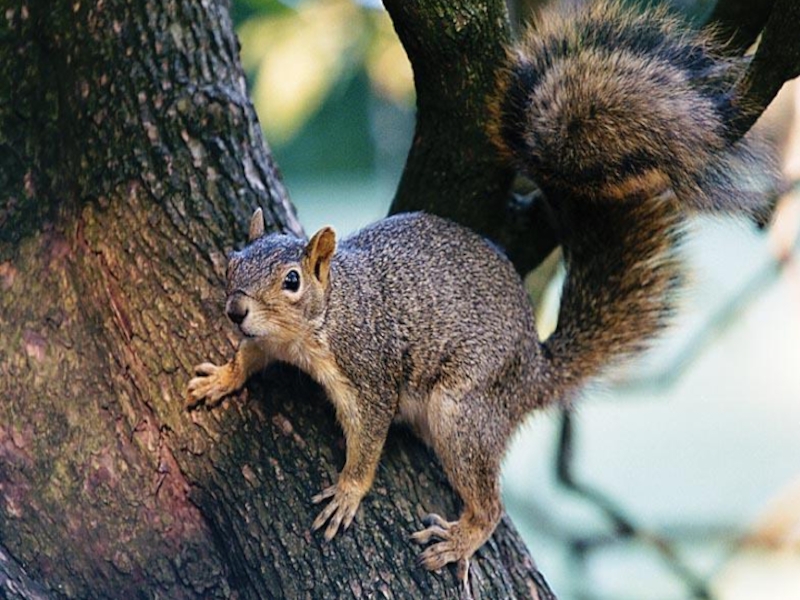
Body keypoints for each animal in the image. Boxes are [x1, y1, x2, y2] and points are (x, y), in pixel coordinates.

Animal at [188, 0, 776, 580]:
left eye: (291, 280)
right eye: (232, 263)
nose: (235, 310)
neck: (324, 316)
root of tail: (533, 370)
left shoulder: (369, 372)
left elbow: (369, 439)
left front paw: (349, 492)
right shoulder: (268, 339)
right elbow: (250, 355)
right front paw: (222, 377)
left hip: (463, 411)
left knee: (489, 499)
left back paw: (463, 536)